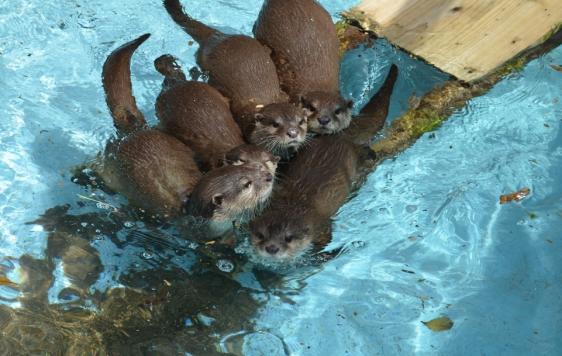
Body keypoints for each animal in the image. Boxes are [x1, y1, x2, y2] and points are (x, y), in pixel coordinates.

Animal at [249, 64, 398, 258]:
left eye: (289, 238)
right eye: (261, 235)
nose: (272, 248)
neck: (294, 205)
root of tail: (337, 135)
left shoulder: (321, 224)